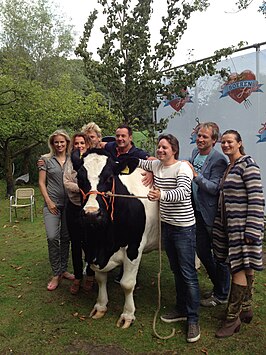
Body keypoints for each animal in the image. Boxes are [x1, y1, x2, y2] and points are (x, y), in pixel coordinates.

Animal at [74, 149, 158, 330]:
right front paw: (100, 306)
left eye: (109, 178)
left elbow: (127, 284)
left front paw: (127, 315)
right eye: (79, 178)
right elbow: (100, 278)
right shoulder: (94, 247)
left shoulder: (134, 247)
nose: (91, 214)